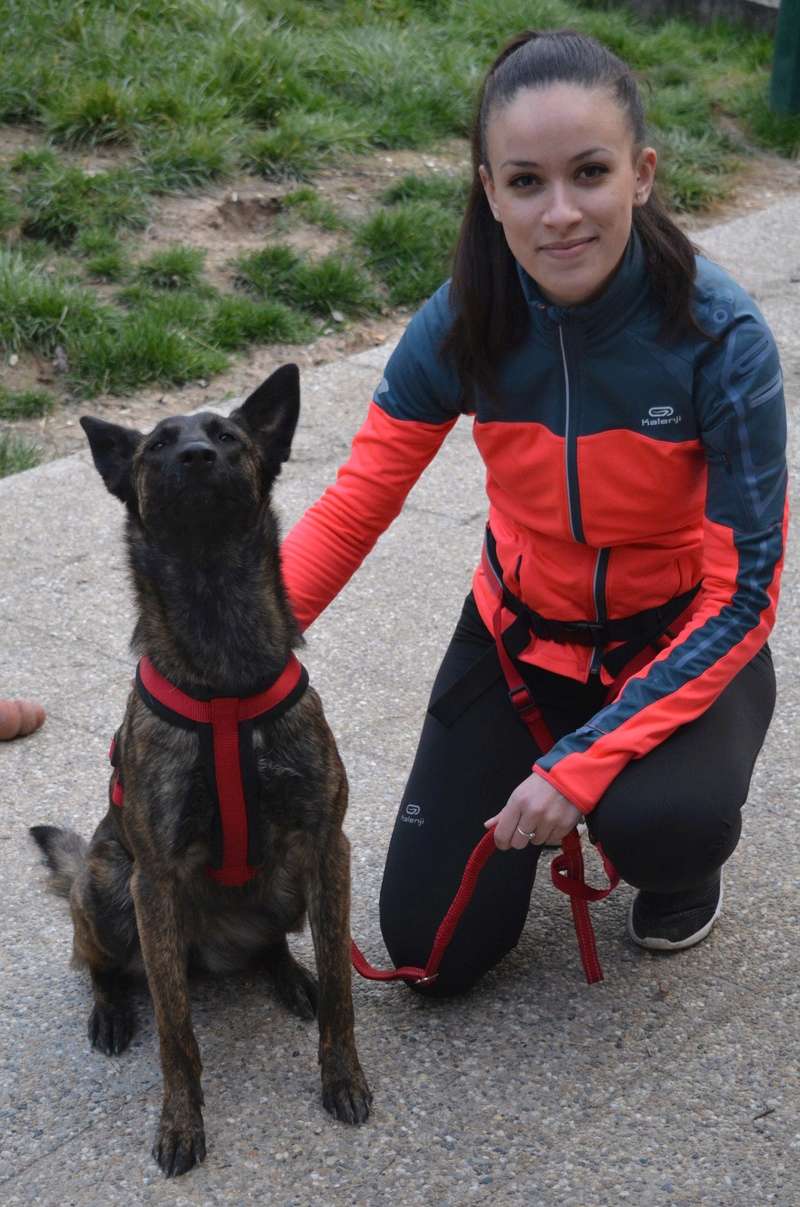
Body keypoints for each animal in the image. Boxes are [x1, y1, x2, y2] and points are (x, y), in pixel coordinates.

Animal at [28, 366, 371, 1178]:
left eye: (227, 436)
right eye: (155, 445)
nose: (193, 457)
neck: (224, 677)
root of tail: (214, 950)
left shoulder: (326, 845)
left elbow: (344, 990)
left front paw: (341, 1074)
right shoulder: (154, 878)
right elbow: (176, 1033)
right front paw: (181, 1122)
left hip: (287, 881)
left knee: (274, 944)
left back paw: (291, 975)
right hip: (110, 885)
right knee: (100, 960)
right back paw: (110, 1010)